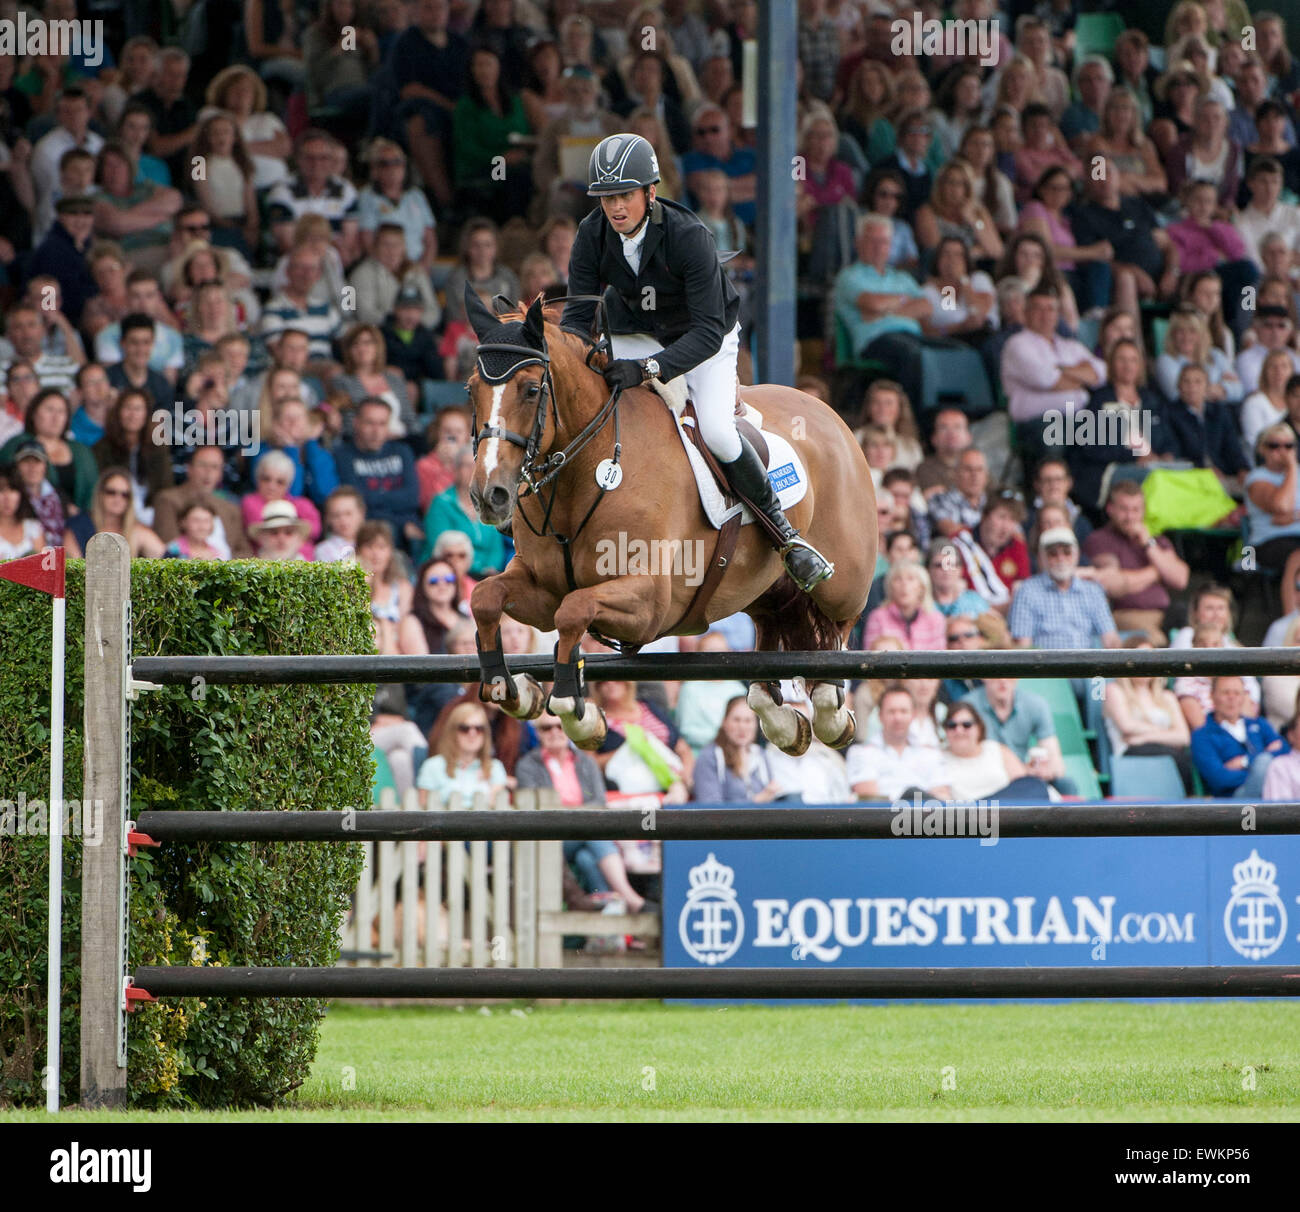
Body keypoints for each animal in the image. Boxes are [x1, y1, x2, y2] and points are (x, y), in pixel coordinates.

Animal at [462, 289, 878, 754]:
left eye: (532, 389)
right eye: (471, 390)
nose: (489, 495)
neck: (589, 469)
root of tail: (825, 410)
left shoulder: (650, 603)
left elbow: (574, 611)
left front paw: (577, 712)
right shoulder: (543, 589)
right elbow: (486, 597)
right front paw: (514, 689)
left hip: (843, 583)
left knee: (838, 631)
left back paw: (829, 712)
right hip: (762, 588)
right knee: (770, 633)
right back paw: (783, 721)